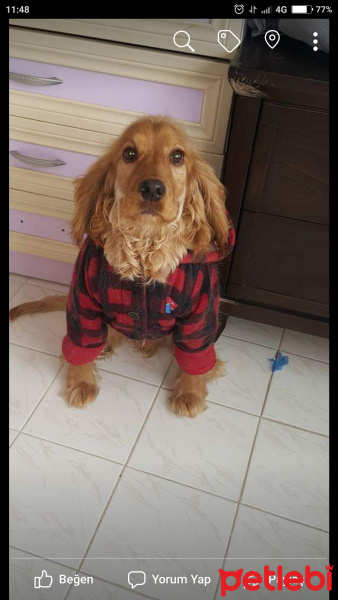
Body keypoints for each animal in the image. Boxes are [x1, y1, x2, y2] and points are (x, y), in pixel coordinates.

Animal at [8, 116, 235, 418]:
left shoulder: (202, 312)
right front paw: (81, 383)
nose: (152, 188)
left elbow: (196, 357)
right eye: (129, 153)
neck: (145, 248)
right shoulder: (82, 299)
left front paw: (190, 393)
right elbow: (81, 344)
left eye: (177, 156)